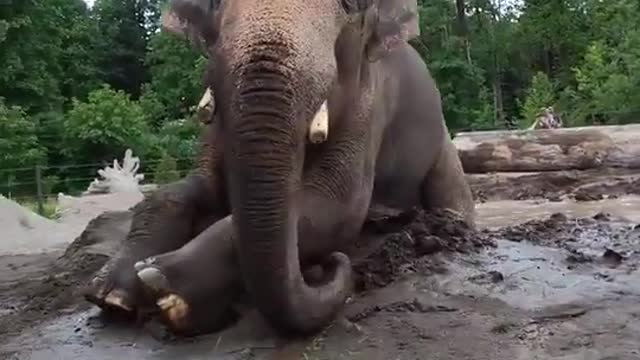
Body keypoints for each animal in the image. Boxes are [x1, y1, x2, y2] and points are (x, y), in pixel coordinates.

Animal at [81, 0, 476, 338]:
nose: (329, 266)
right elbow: (180, 191)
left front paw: (164, 285)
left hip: (441, 146)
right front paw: (111, 293)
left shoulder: (370, 105)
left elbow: (336, 208)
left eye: (350, 5)